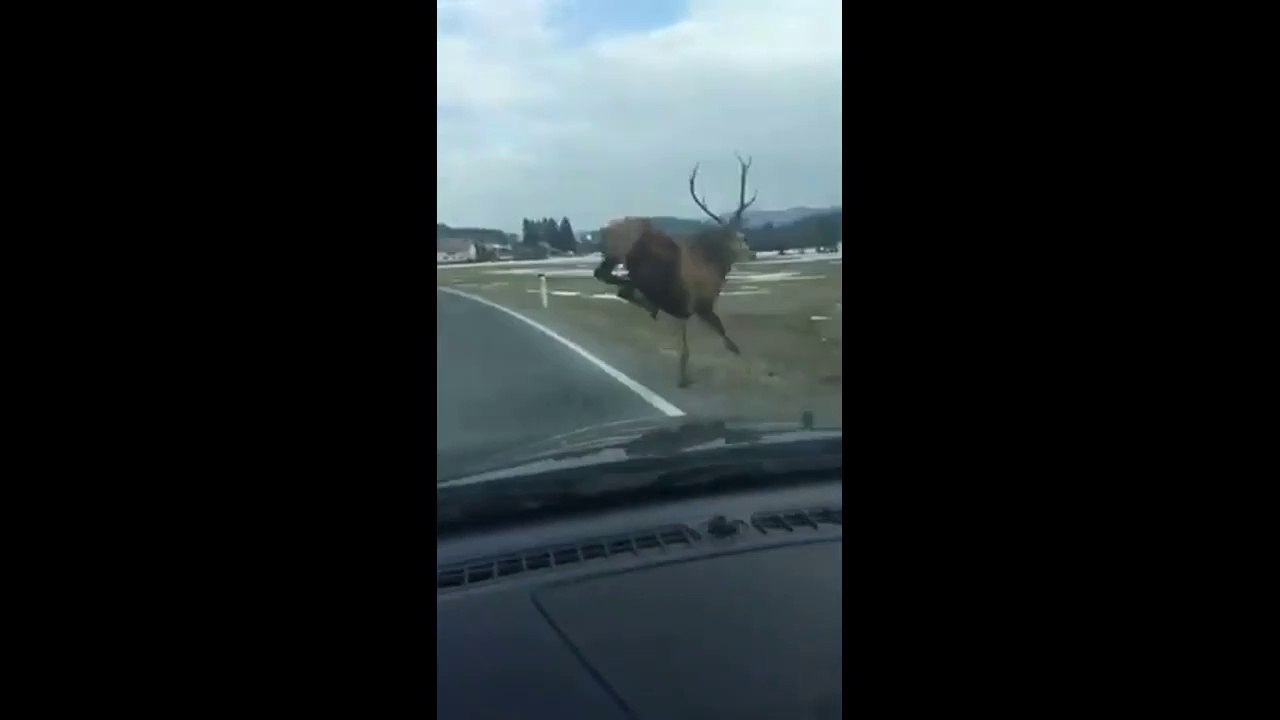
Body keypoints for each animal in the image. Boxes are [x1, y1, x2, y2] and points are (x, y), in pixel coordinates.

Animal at [593, 152, 758, 388]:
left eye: (744, 236)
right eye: (736, 238)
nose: (753, 254)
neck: (713, 266)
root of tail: (604, 229)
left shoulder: (684, 308)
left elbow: (688, 341)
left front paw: (683, 375)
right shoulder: (699, 305)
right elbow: (724, 337)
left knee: (612, 281)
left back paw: (644, 299)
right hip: (618, 253)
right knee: (605, 276)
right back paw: (643, 298)